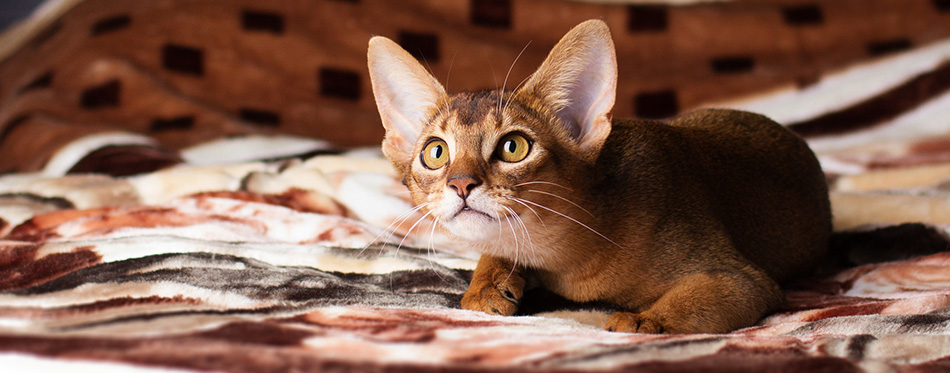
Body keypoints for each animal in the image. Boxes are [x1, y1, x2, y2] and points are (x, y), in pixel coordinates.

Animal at [368, 19, 828, 334]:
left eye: (514, 147)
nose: (461, 183)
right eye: (435, 152)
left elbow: (697, 300)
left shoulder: (742, 279)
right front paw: (486, 285)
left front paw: (645, 321)